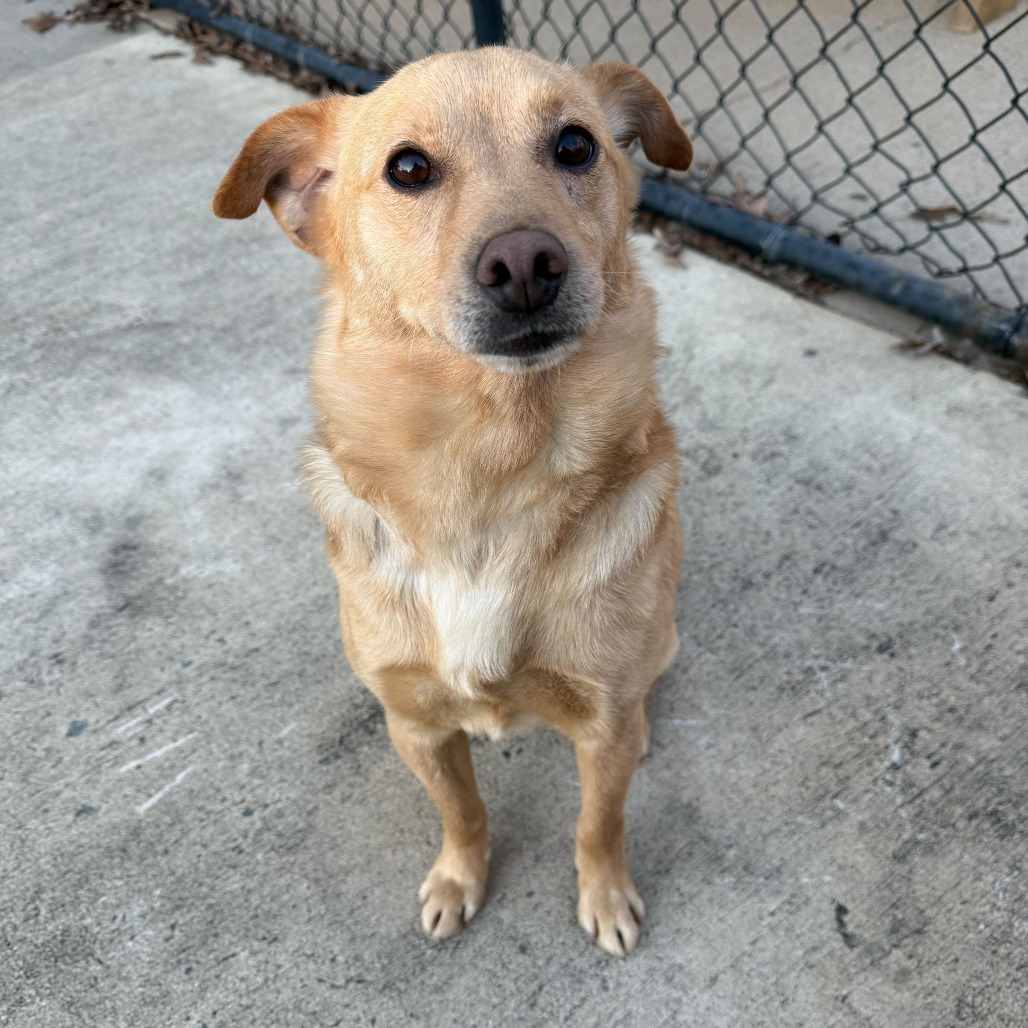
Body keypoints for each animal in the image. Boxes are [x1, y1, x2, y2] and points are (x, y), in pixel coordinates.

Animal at [210, 48, 690, 953]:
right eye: (408, 168)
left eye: (575, 145)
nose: (526, 263)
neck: (490, 474)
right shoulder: (416, 724)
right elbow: (463, 811)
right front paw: (460, 879)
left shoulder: (602, 725)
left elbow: (598, 822)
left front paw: (605, 895)